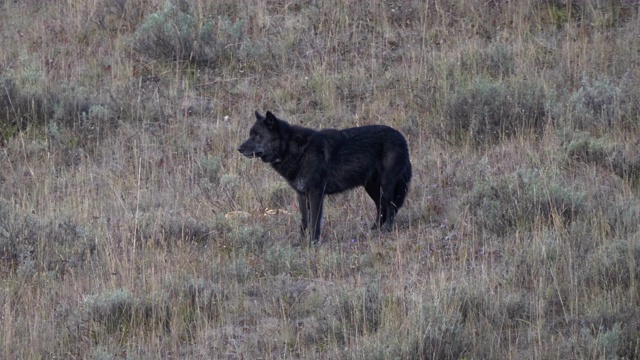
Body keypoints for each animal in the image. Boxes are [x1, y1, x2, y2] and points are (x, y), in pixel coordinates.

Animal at [238, 111, 412, 242]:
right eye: (250, 135)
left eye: (258, 136)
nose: (239, 148)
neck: (295, 150)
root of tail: (402, 138)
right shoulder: (302, 194)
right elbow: (304, 220)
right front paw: (301, 243)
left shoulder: (316, 193)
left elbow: (315, 221)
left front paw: (313, 243)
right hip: (372, 188)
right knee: (381, 208)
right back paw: (373, 230)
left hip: (386, 186)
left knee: (390, 207)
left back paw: (387, 231)